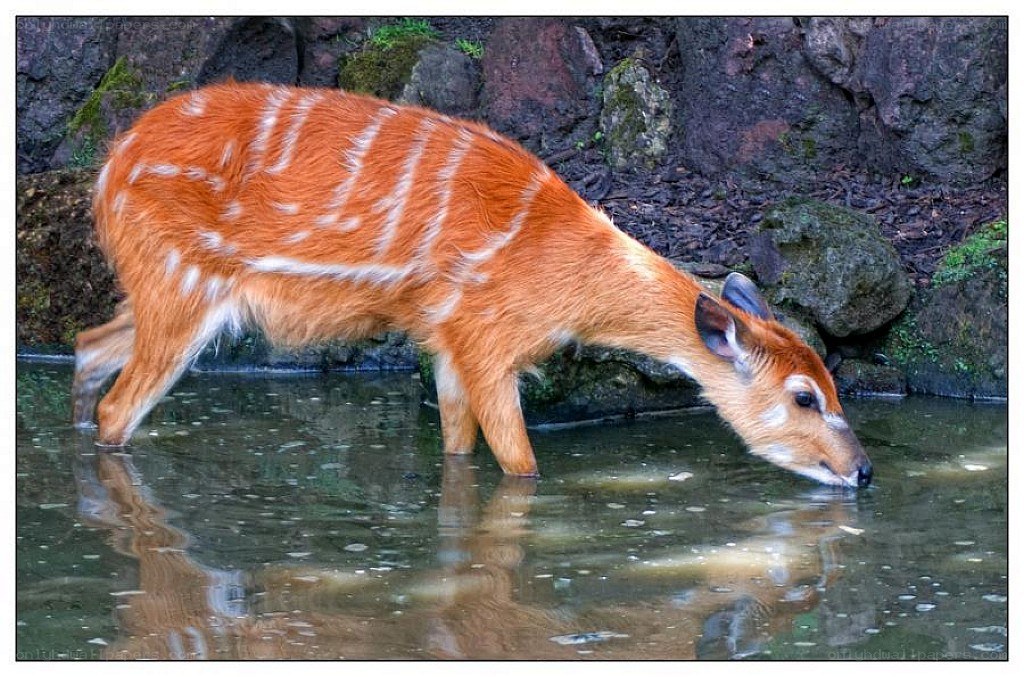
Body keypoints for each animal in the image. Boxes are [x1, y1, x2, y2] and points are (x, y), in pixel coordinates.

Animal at [73, 82, 872, 488]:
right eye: (804, 396)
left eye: (835, 383)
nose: (862, 471)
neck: (557, 265)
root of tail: (107, 172)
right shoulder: (486, 340)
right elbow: (521, 466)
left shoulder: (445, 343)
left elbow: (458, 454)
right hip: (180, 287)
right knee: (119, 406)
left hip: (162, 293)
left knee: (87, 346)